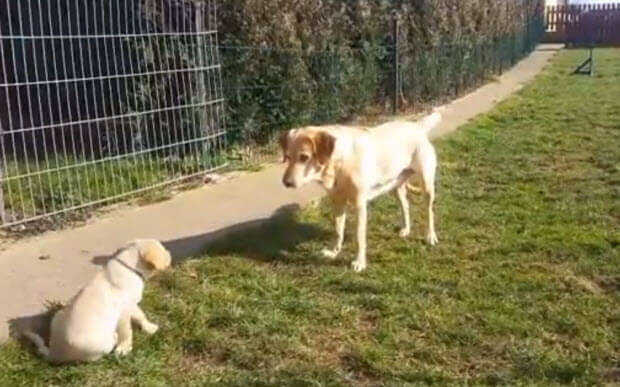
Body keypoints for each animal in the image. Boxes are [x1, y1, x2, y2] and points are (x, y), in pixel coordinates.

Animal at [21, 239, 171, 364]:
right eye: (163, 250)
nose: (169, 253)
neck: (129, 265)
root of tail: (54, 354)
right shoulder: (123, 311)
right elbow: (127, 331)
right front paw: (124, 348)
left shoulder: (131, 304)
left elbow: (140, 315)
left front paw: (149, 327)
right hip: (101, 345)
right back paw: (114, 338)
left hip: (58, 315)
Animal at [280, 109, 440, 272]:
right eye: (288, 157)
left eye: (304, 157)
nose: (286, 182)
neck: (340, 163)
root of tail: (416, 126)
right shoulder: (337, 203)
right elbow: (338, 231)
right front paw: (334, 252)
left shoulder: (360, 206)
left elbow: (359, 237)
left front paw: (360, 262)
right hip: (394, 186)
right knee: (405, 206)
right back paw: (406, 229)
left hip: (427, 185)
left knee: (429, 212)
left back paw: (430, 236)